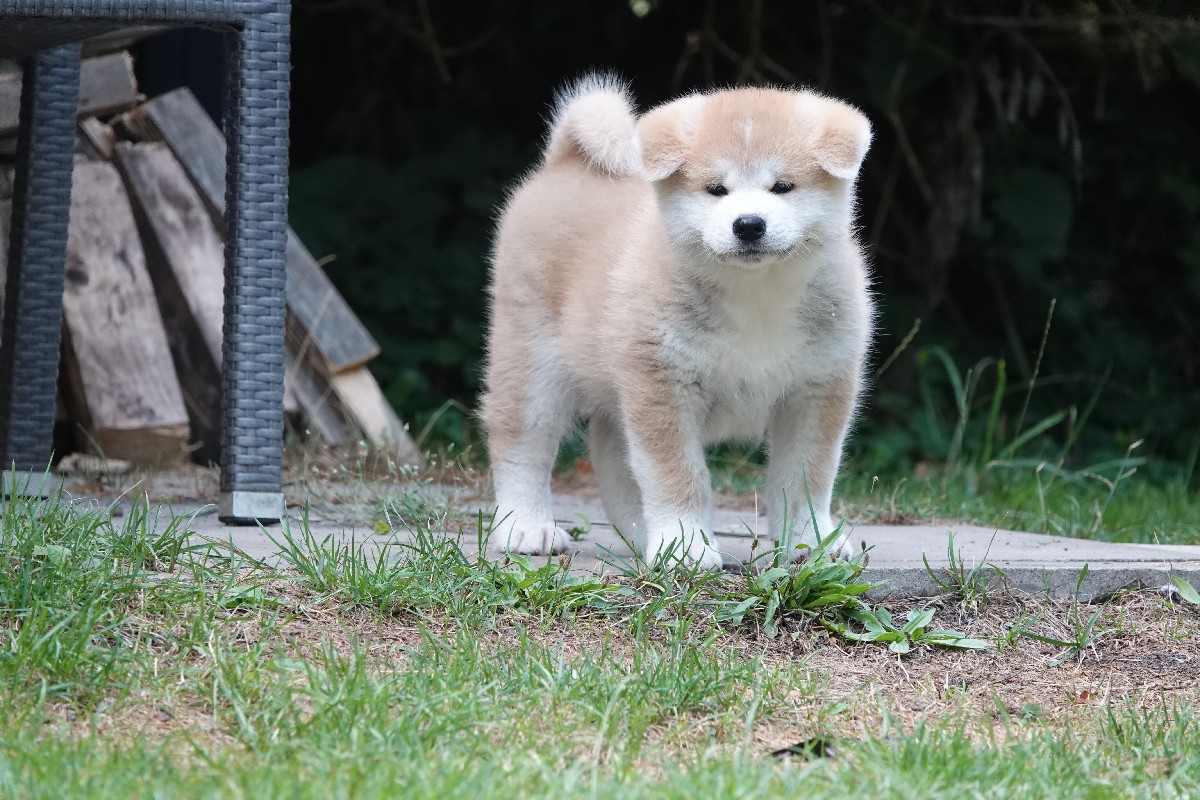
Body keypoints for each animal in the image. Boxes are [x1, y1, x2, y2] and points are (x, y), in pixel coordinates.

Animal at [480, 74, 873, 569]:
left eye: (783, 186)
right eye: (716, 189)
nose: (749, 224)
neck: (755, 293)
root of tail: (565, 162)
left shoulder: (817, 388)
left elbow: (806, 478)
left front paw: (810, 543)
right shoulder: (663, 385)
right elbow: (677, 475)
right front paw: (685, 545)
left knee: (611, 453)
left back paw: (638, 533)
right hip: (532, 364)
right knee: (522, 445)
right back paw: (526, 527)